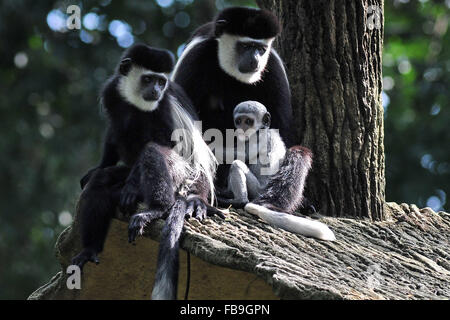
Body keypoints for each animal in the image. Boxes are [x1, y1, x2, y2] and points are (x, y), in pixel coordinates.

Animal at [71, 43, 223, 302]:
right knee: (101, 184)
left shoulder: (162, 109)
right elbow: (113, 132)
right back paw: (90, 250)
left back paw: (155, 208)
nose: (155, 90)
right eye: (148, 79)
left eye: (161, 82)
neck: (135, 102)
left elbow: (162, 142)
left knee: (154, 152)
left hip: (179, 173)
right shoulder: (112, 93)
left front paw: (132, 187)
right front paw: (98, 168)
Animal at [171, 7, 320, 229]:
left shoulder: (273, 66)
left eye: (260, 48)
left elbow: (282, 128)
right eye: (245, 46)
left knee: (299, 153)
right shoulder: (194, 59)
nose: (255, 60)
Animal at [220, 101, 336, 241]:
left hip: (257, 190)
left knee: (237, 165)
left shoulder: (260, 137)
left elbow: (243, 154)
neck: (263, 129)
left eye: (248, 121)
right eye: (239, 121)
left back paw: (239, 200)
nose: (242, 128)